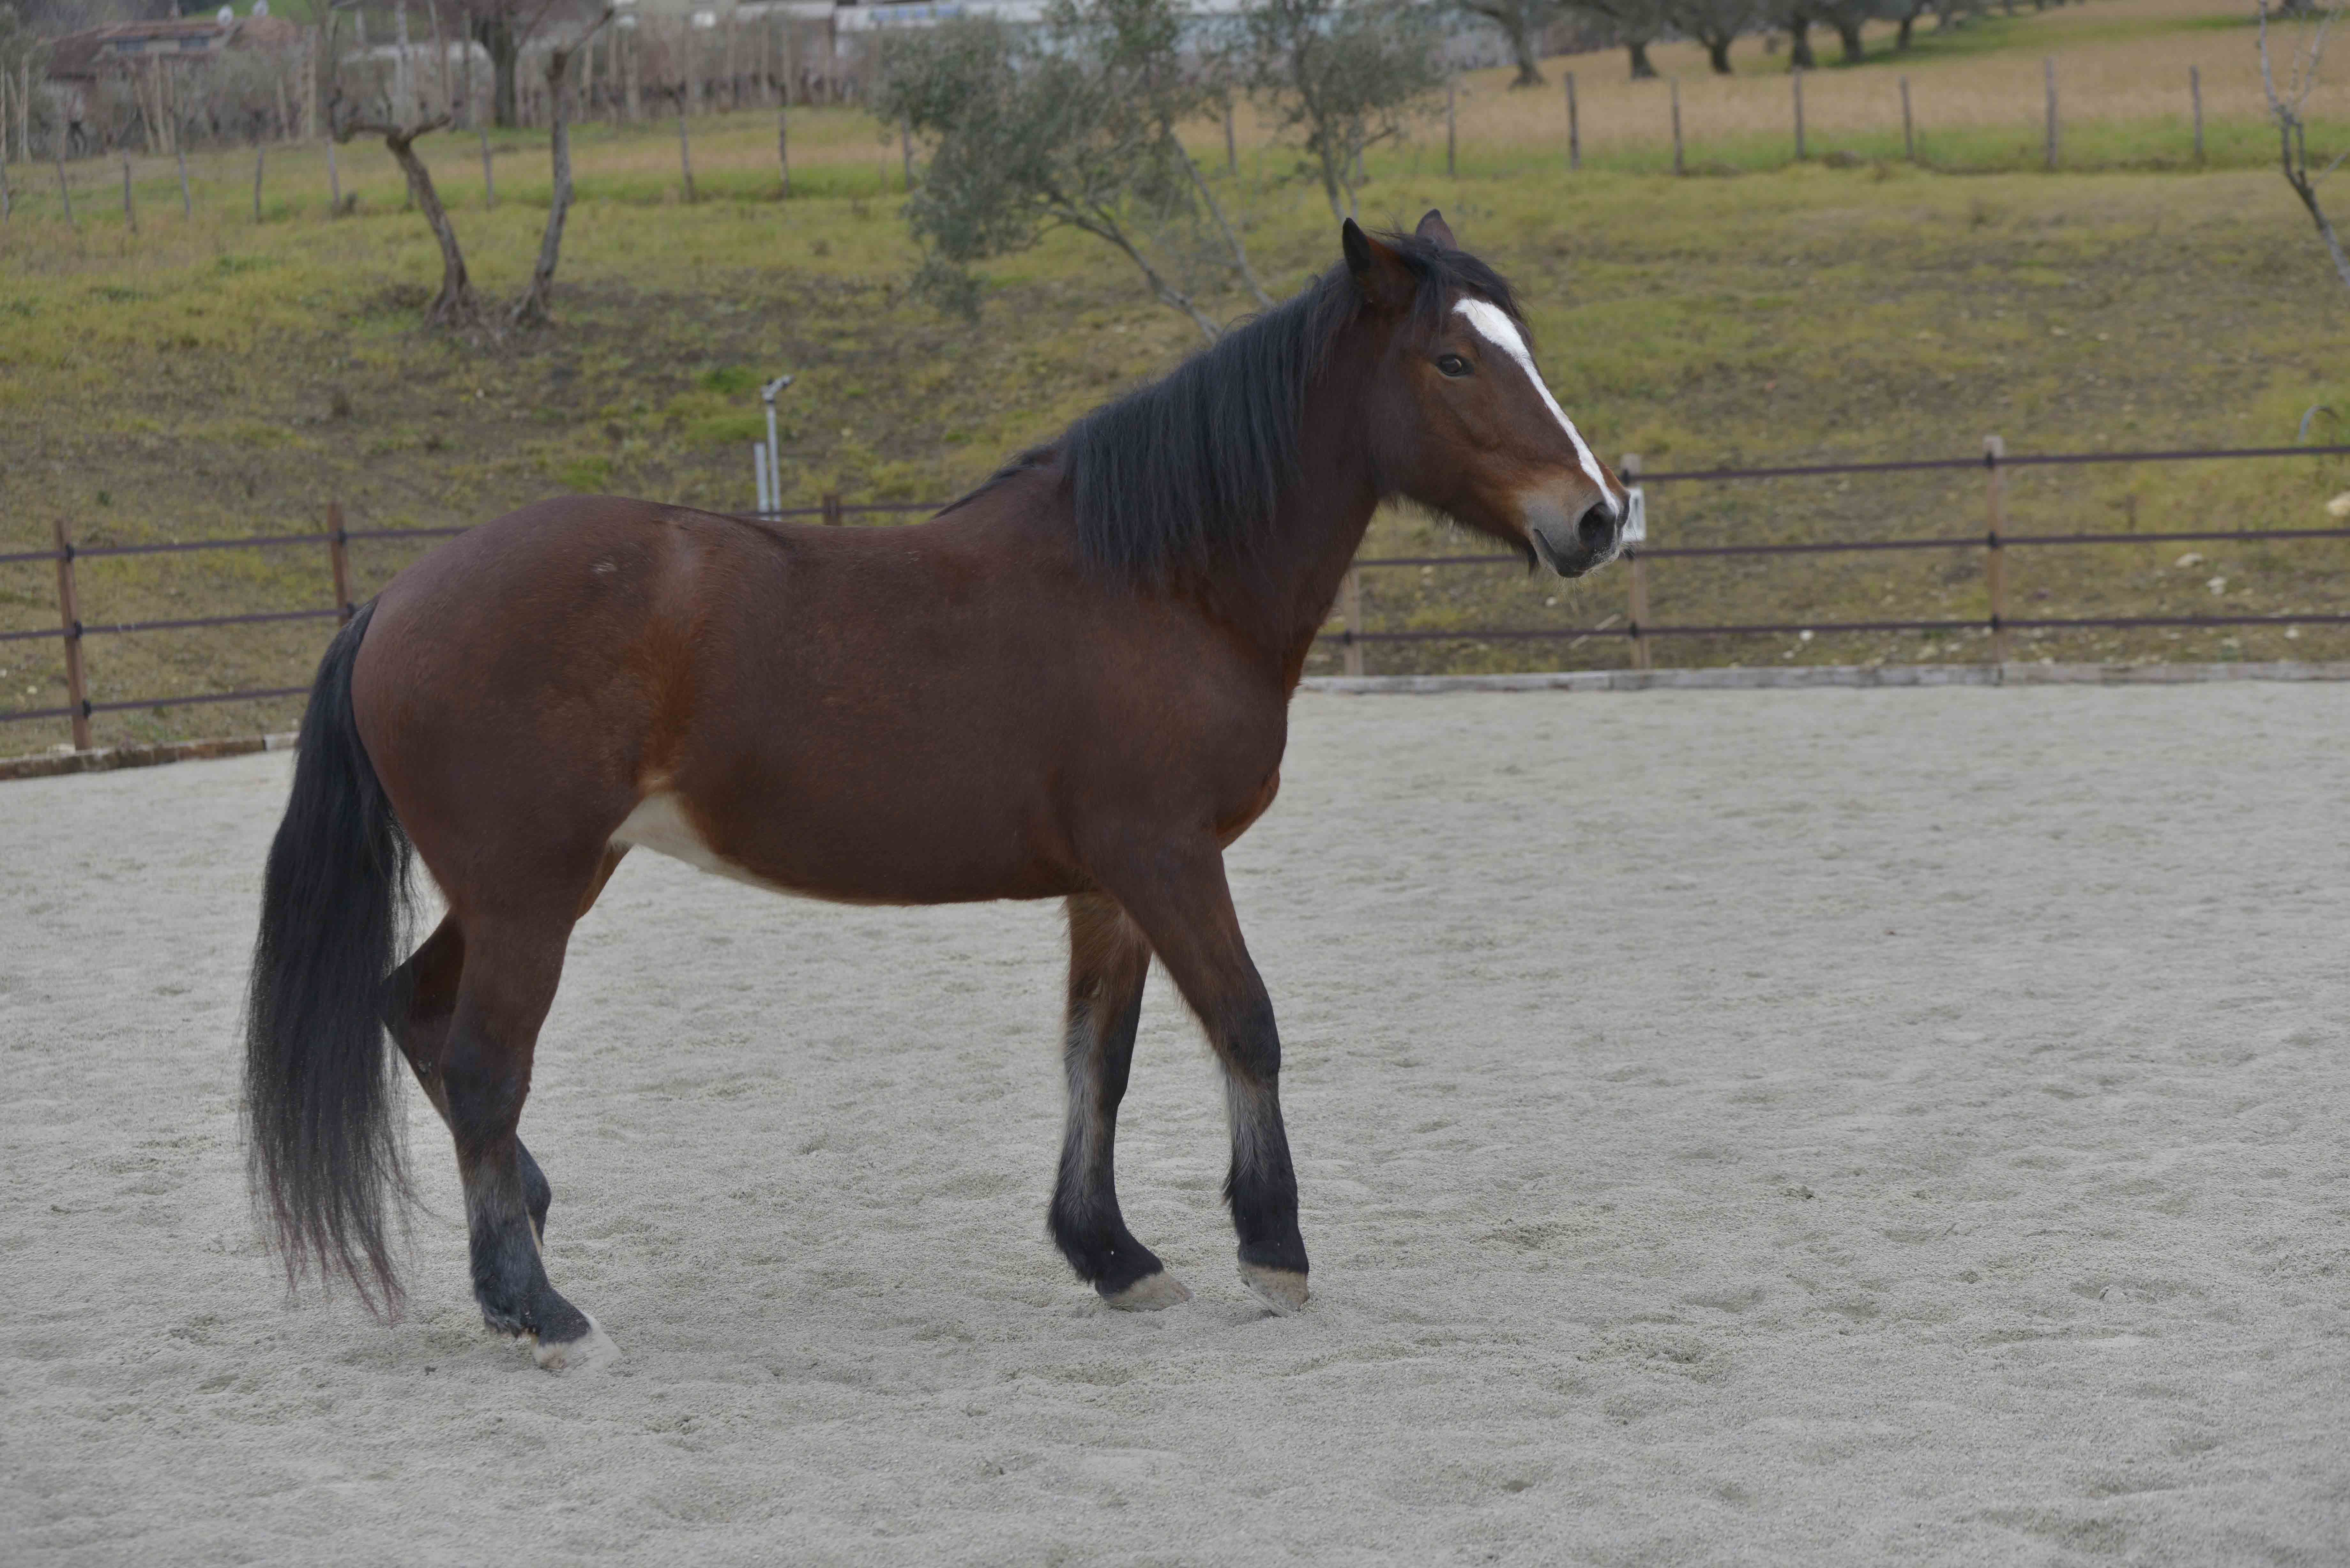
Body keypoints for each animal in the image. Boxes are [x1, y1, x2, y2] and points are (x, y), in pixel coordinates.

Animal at [243, 211, 1628, 1371]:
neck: (1158, 580)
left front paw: (1111, 1254)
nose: (1597, 517)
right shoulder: (1170, 858)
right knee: (482, 1064)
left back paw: (525, 1231)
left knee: (411, 1012)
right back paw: (538, 1308)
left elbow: (1097, 1063)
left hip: (532, 887)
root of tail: (396, 599)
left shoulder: (1109, 888)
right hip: (531, 895)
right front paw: (1273, 1250)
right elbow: (1247, 1025)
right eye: (1454, 361)